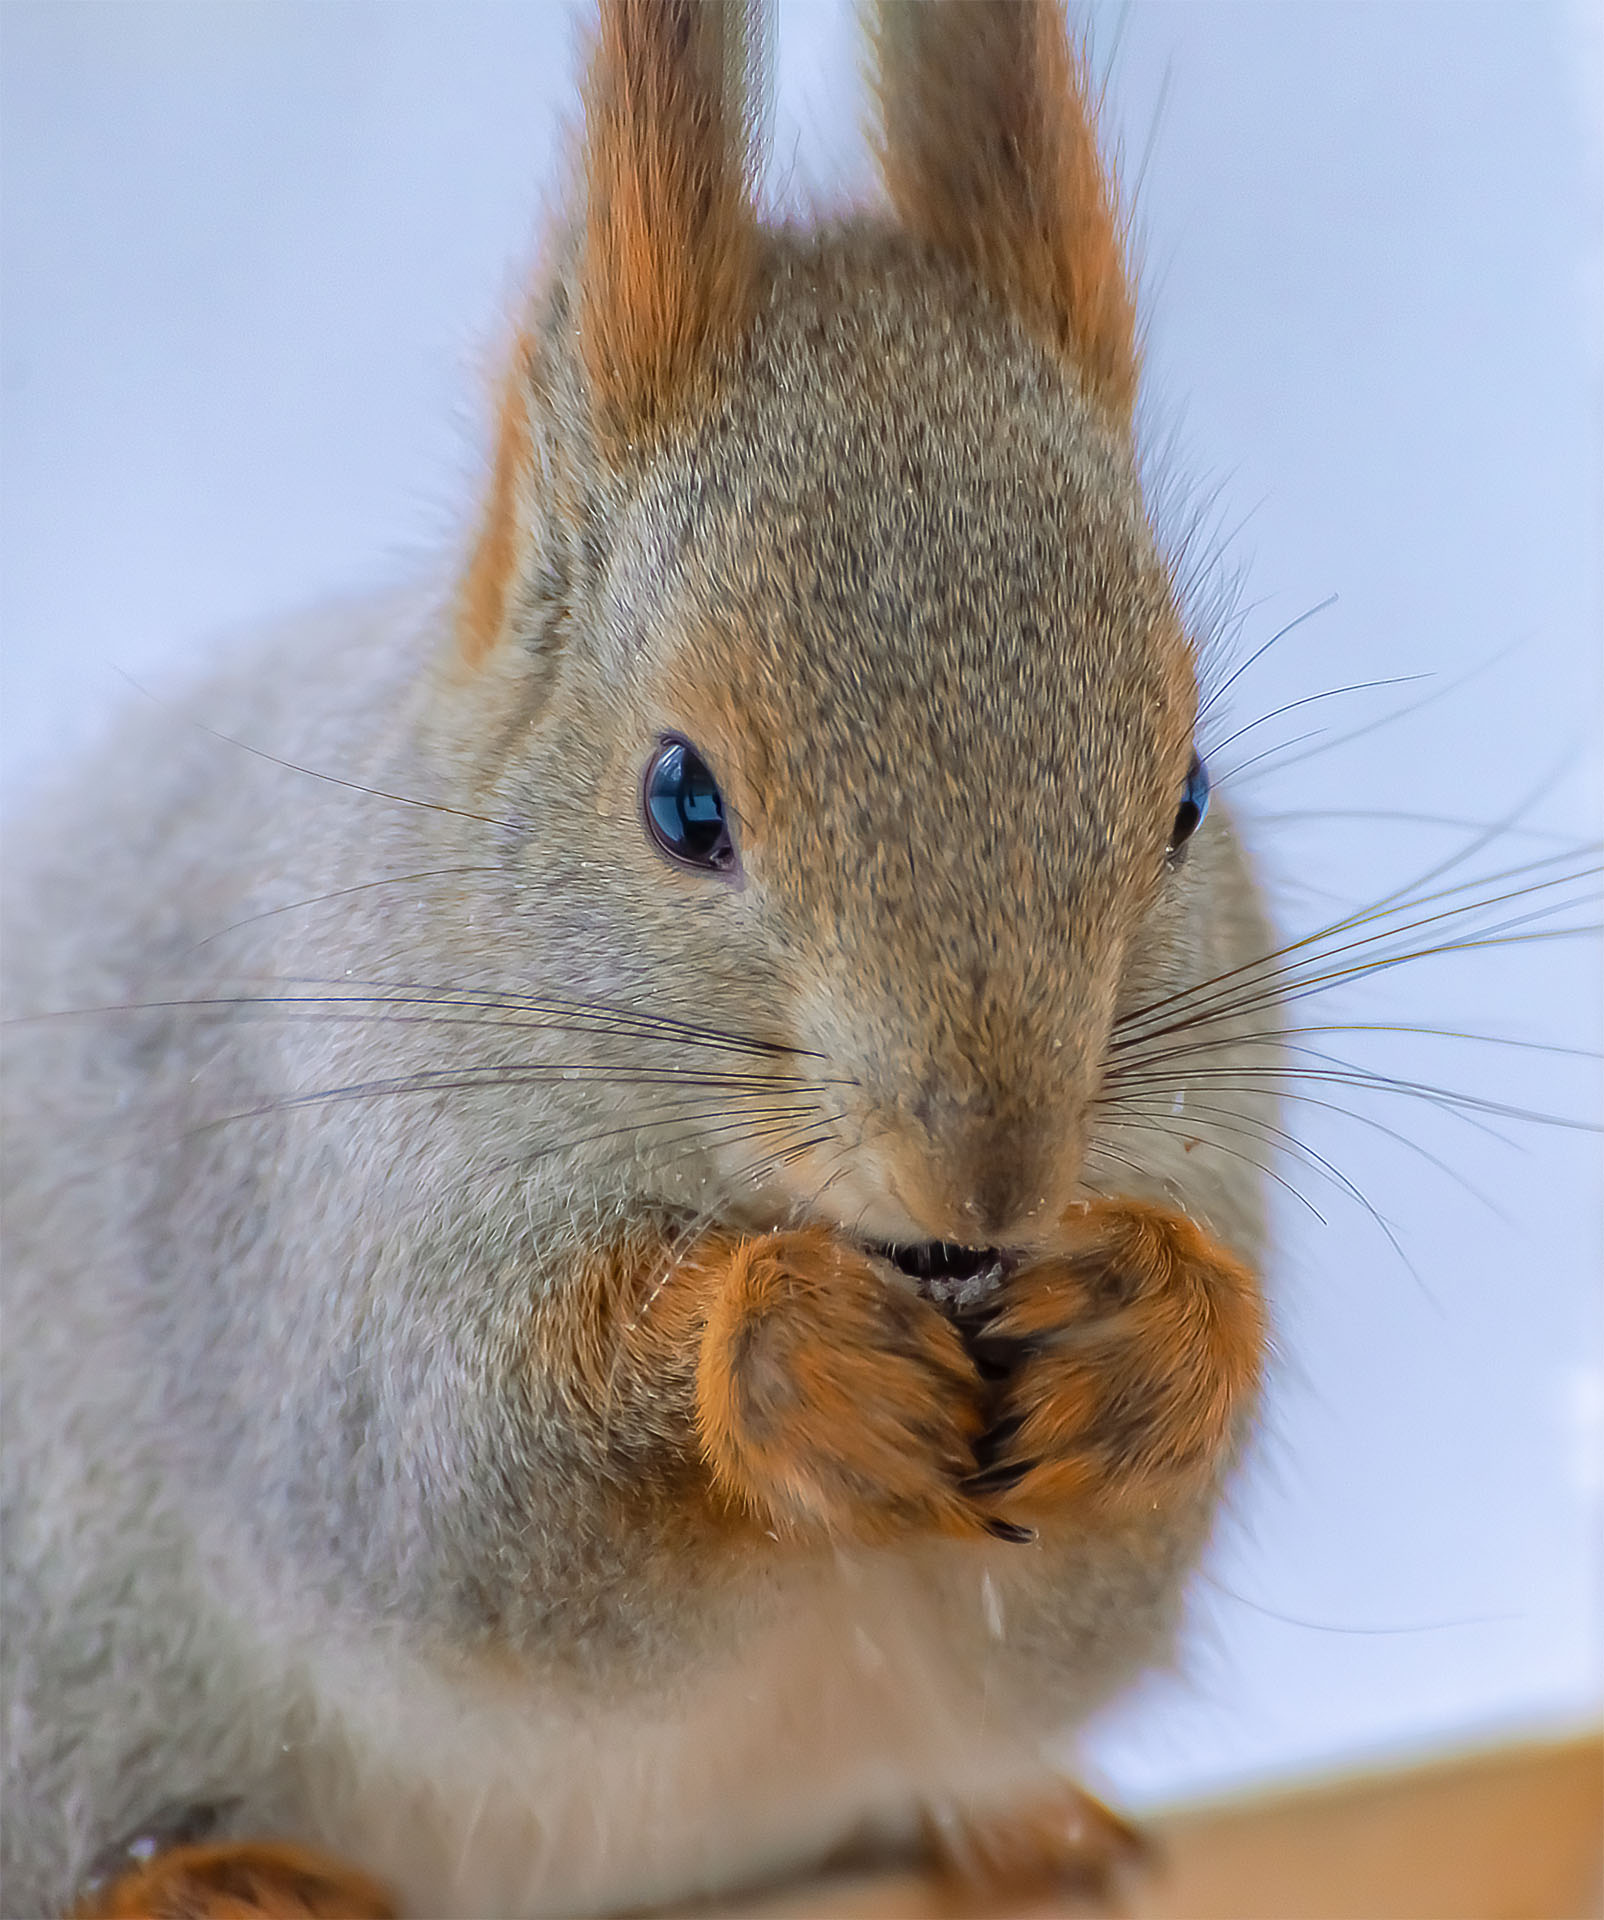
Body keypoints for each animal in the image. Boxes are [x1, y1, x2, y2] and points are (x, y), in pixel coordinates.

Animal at [0, 3, 1283, 1920]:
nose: (992, 1180)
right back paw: (204, 1878)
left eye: (1187, 791)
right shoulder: (304, 1246)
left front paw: (1147, 1336)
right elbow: (470, 1505)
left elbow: (1075, 1577)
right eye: (682, 800)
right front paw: (781, 1351)